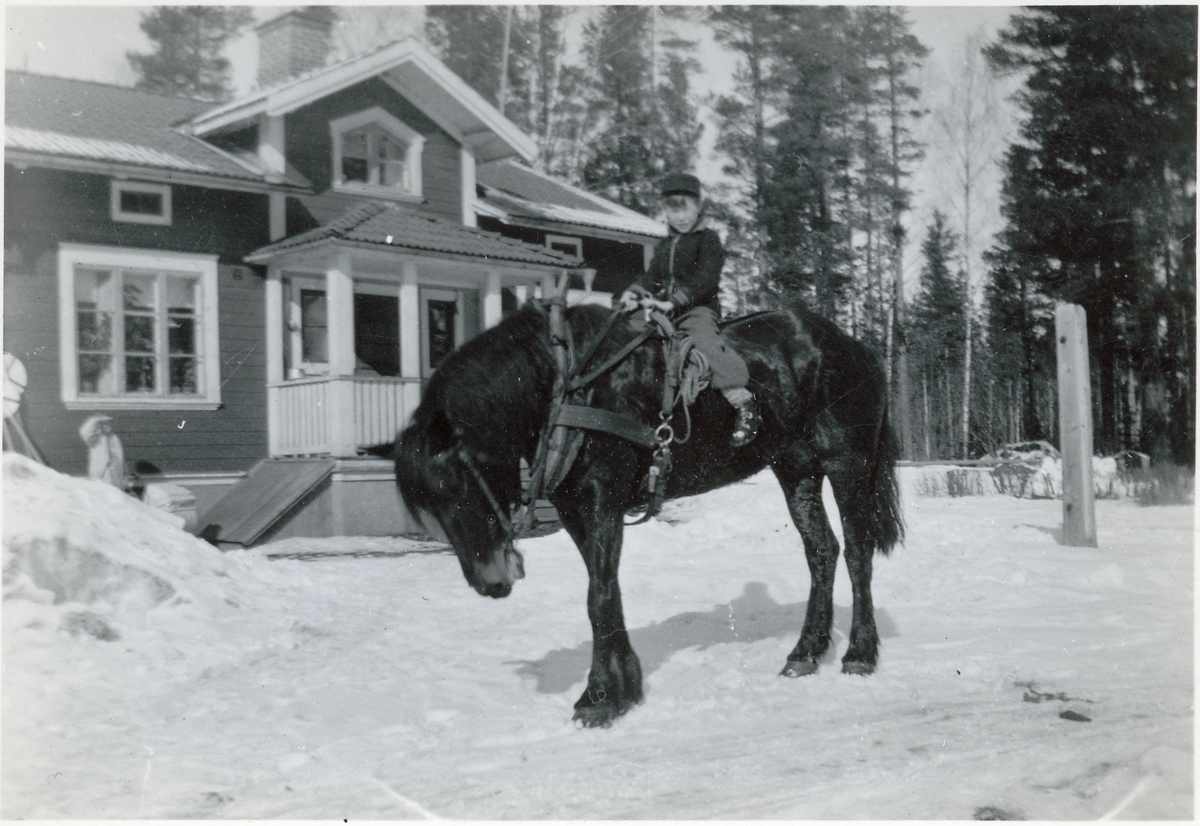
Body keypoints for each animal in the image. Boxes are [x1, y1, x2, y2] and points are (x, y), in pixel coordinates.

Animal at [395, 302, 903, 728]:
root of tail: (855, 346)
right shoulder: (578, 510)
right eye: (429, 503)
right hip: (796, 467)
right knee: (821, 550)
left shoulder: (602, 500)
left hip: (846, 461)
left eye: (462, 480)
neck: (570, 385)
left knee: (857, 552)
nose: (491, 580)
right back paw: (806, 652)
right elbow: (607, 593)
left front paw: (598, 697)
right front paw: (626, 687)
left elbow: (598, 596)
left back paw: (860, 652)